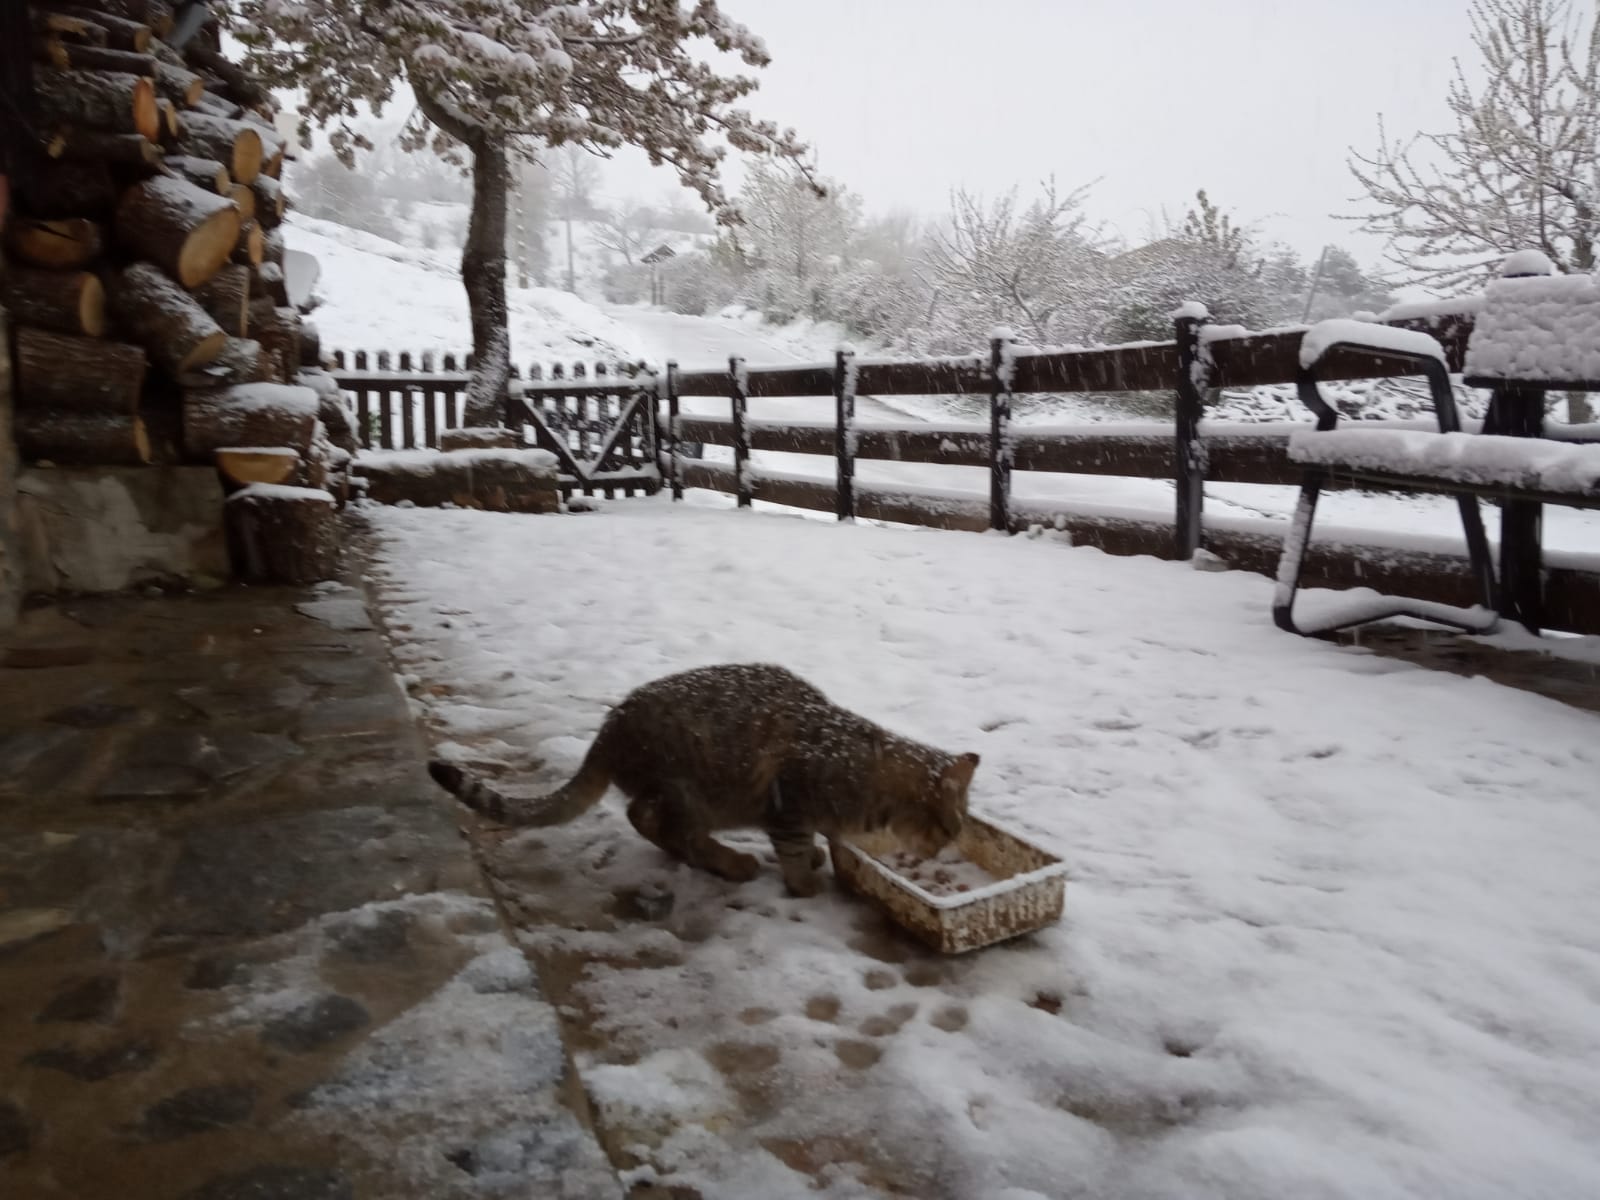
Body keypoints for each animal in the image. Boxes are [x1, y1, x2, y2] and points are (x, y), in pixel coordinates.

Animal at [425, 662, 972, 896]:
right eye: (952, 825)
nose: (951, 843)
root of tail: (609, 726)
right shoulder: (789, 804)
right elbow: (795, 852)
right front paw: (804, 882)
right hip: (687, 788)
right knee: (653, 822)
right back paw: (729, 861)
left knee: (652, 823)